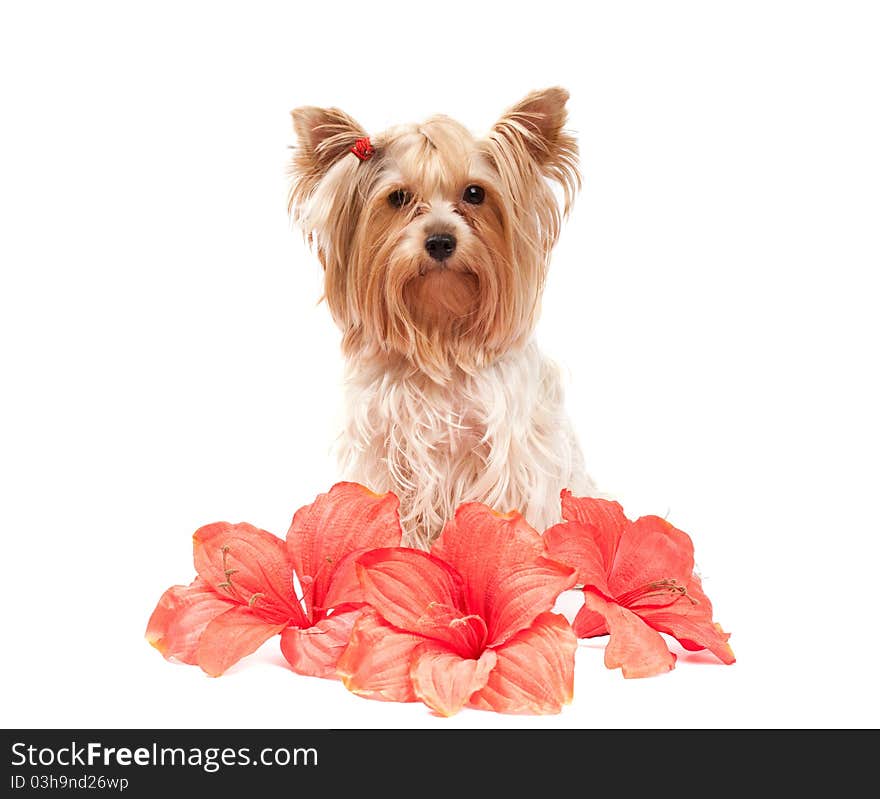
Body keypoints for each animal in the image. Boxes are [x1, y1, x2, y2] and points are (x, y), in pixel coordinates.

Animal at [288, 89, 600, 552]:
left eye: (474, 193)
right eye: (398, 198)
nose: (439, 240)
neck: (441, 335)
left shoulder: (506, 457)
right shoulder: (388, 454)